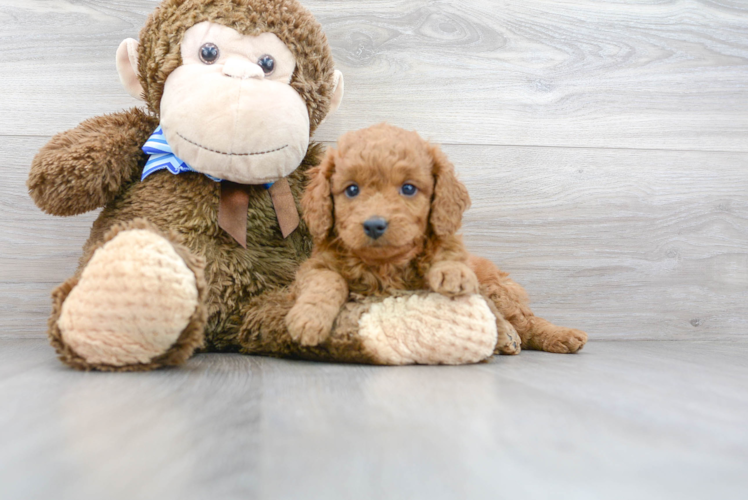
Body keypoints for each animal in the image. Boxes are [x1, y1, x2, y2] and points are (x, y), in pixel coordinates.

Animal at [284, 122, 588, 354]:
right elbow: (326, 281)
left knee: (526, 320)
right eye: (351, 190)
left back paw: (558, 335)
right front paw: (308, 320)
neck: (385, 265)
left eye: (408, 188)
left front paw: (452, 274)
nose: (374, 225)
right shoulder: (314, 267)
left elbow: (449, 260)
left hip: (499, 289)